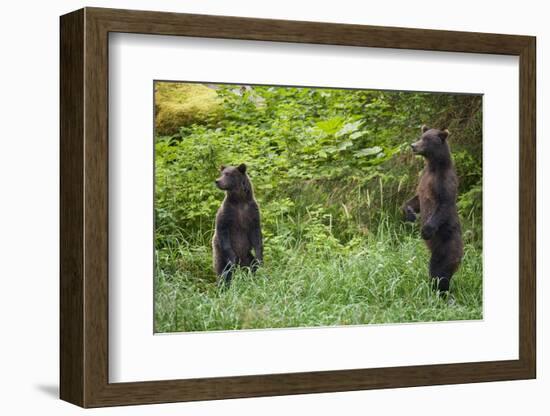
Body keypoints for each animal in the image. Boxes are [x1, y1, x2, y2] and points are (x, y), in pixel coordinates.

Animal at [406, 125, 466, 290]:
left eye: (426, 140)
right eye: (421, 136)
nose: (413, 146)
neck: (434, 166)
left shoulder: (444, 181)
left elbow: (444, 204)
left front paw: (425, 231)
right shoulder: (424, 179)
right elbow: (416, 198)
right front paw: (409, 213)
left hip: (447, 246)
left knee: (440, 271)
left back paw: (441, 291)